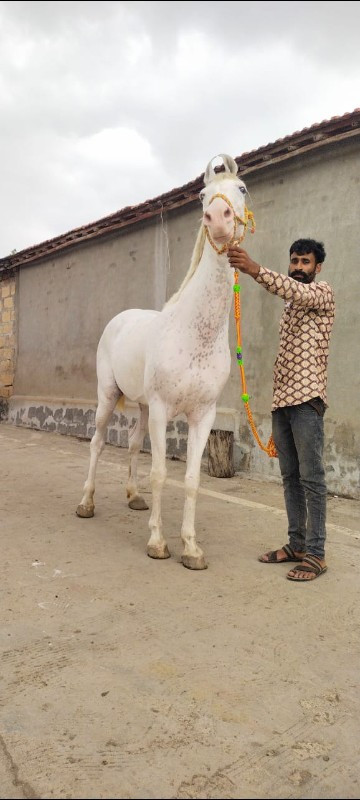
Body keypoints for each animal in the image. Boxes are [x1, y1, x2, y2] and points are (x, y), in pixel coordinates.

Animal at [76, 155, 250, 568]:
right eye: (202, 195)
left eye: (242, 188)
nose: (218, 218)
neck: (195, 333)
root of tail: (119, 319)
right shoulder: (161, 409)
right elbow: (159, 473)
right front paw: (157, 542)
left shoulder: (202, 415)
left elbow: (191, 479)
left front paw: (191, 548)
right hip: (109, 397)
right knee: (98, 443)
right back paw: (86, 502)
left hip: (140, 408)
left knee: (132, 445)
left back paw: (134, 497)